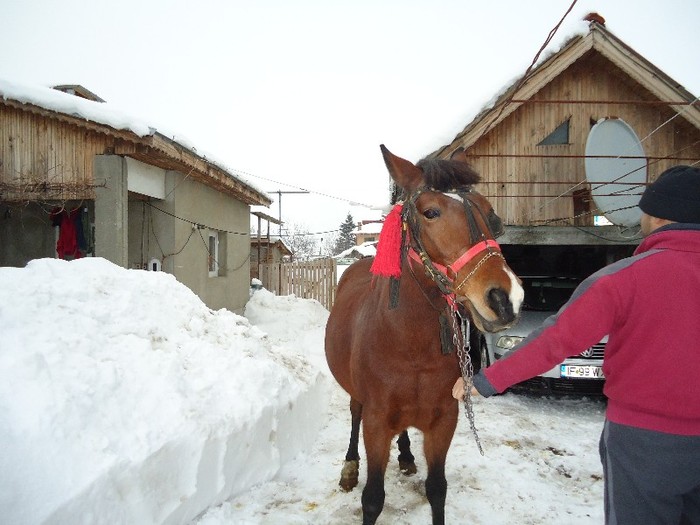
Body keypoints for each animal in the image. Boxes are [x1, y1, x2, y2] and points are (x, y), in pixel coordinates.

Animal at [326, 145, 524, 520]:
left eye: (488, 211)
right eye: (431, 212)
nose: (505, 299)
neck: (409, 343)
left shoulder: (444, 420)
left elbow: (437, 489)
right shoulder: (376, 423)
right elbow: (373, 497)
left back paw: (405, 455)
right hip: (357, 398)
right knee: (354, 415)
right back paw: (349, 467)